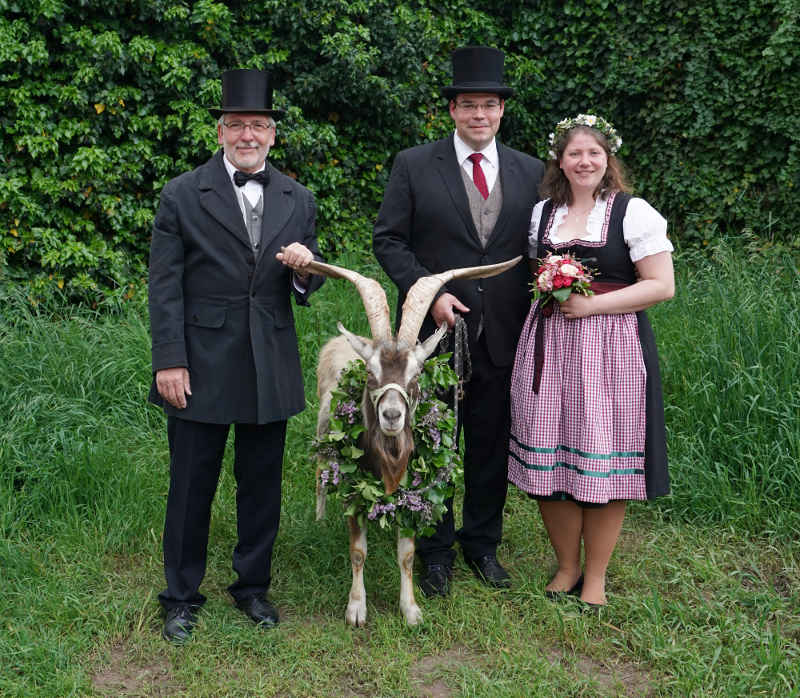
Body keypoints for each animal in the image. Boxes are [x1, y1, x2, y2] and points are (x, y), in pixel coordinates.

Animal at [304, 256, 520, 624]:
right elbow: (358, 551)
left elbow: (405, 554)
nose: (392, 415)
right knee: (321, 474)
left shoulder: (411, 492)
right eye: (371, 374)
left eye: (416, 374)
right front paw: (356, 609)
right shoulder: (354, 486)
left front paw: (411, 609)